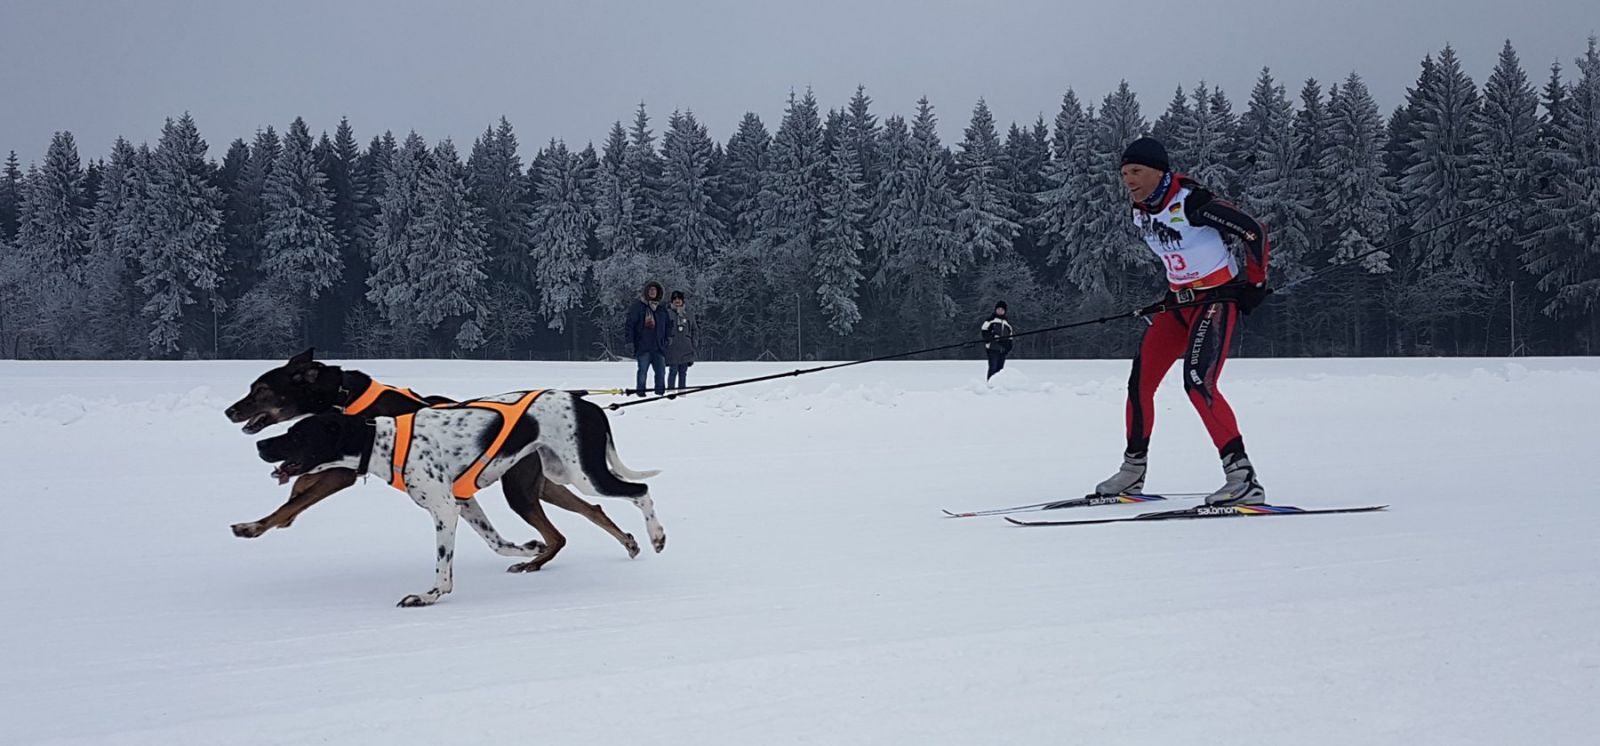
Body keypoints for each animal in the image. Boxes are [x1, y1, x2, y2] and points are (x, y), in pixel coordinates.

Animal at [224, 348, 643, 569]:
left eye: (261, 390)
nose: (230, 410)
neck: (346, 397)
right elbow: (298, 486)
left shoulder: (341, 471)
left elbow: (296, 495)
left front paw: (256, 525)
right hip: (542, 485)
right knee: (590, 511)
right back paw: (625, 541)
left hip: (522, 490)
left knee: (571, 523)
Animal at [259, 390, 659, 605]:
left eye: (297, 434)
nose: (261, 445)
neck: (385, 441)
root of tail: (587, 404)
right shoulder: (465, 504)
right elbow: (499, 543)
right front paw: (529, 549)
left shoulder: (444, 509)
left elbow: (443, 566)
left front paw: (429, 596)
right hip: (558, 474)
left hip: (585, 476)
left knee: (640, 491)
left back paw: (656, 535)